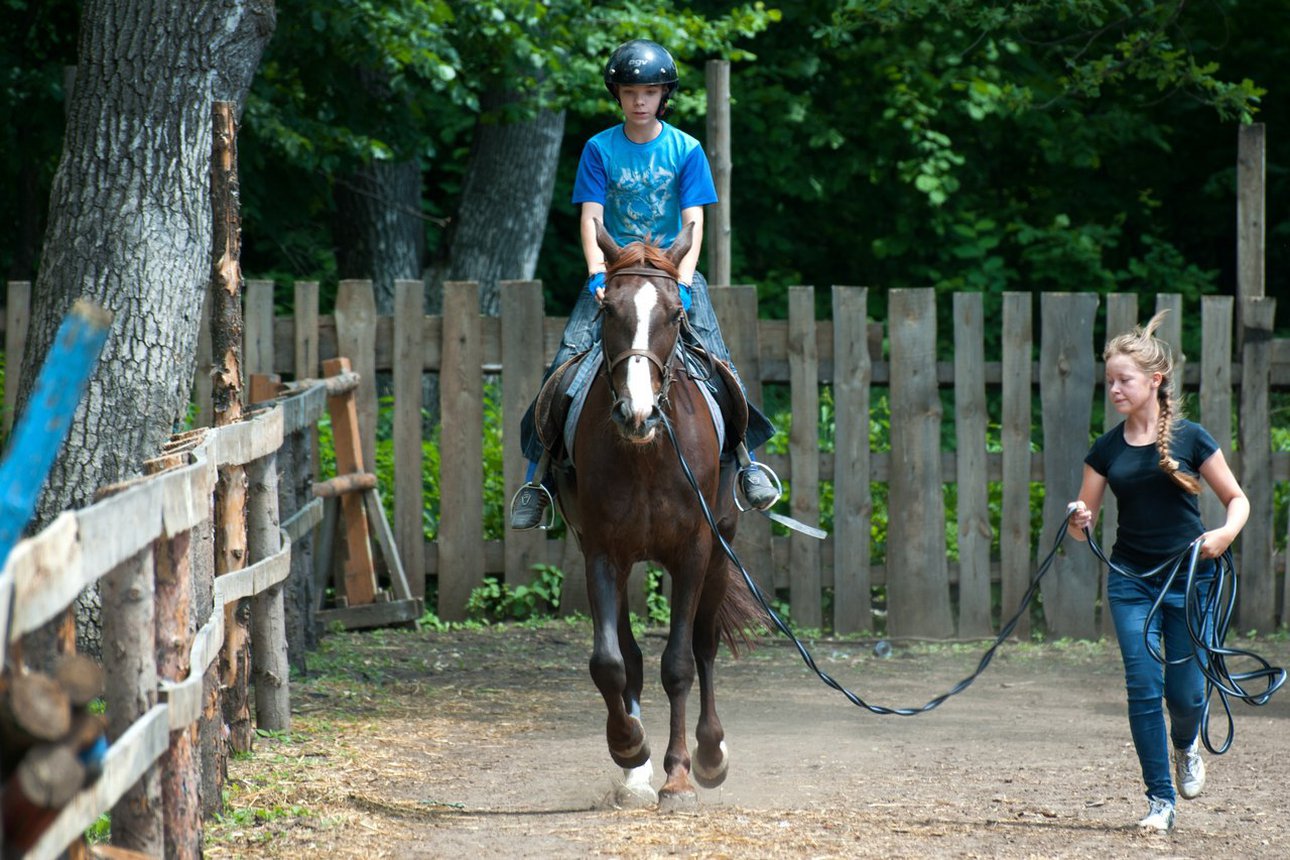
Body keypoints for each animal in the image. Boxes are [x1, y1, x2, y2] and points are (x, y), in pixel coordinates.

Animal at [554, 219, 763, 809]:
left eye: (674, 313)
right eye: (607, 310)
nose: (638, 412)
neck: (647, 452)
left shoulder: (694, 551)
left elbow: (681, 663)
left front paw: (680, 775)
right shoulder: (602, 553)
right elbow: (610, 662)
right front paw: (630, 751)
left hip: (719, 551)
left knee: (705, 646)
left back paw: (710, 753)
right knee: (629, 658)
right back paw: (636, 774)